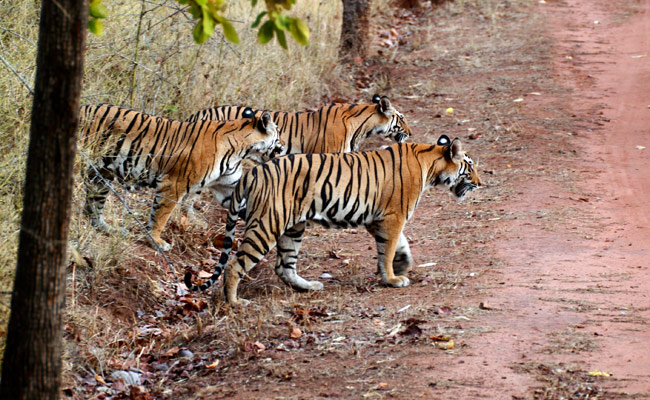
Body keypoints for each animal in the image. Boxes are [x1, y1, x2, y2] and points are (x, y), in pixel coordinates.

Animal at [77, 103, 282, 250]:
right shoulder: (174, 184)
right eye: (278, 135)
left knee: (92, 208)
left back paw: (108, 229)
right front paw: (157, 241)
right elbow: (160, 215)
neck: (241, 150)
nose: (282, 149)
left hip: (101, 176)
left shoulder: (228, 188)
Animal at [185, 134, 478, 304]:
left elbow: (398, 245)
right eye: (470, 166)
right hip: (267, 225)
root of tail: (252, 173)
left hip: (293, 227)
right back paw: (234, 302)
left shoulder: (378, 219)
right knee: (235, 265)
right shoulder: (393, 216)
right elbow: (389, 248)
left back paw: (309, 287)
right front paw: (393, 279)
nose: (480, 182)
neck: (430, 164)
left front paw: (402, 265)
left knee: (284, 266)